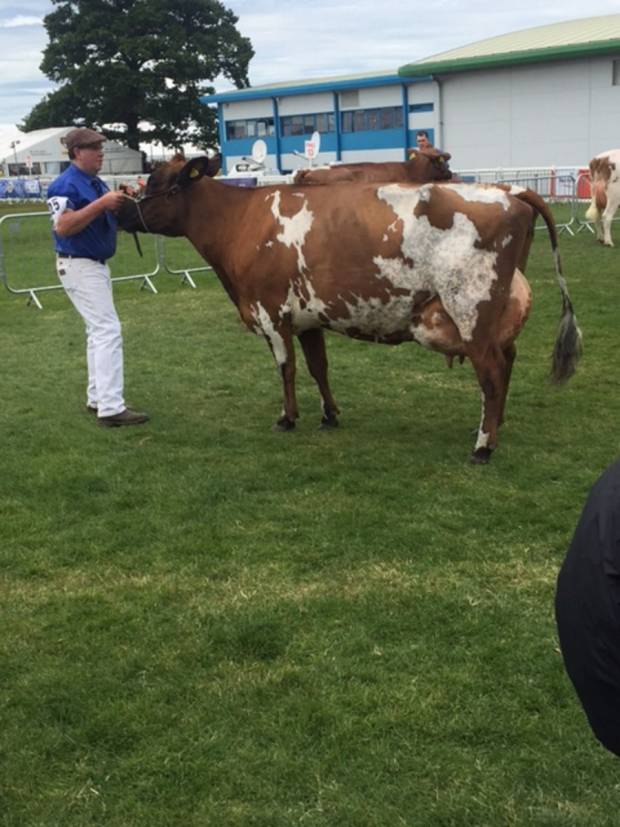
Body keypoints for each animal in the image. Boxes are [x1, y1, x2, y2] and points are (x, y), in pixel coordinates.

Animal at [117, 157, 580, 466]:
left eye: (154, 181)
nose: (121, 209)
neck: (240, 220)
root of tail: (510, 191)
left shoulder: (271, 314)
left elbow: (286, 369)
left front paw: (287, 418)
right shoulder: (307, 317)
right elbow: (318, 367)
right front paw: (329, 415)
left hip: (470, 309)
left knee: (492, 372)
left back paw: (483, 446)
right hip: (496, 312)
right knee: (508, 361)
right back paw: (491, 425)